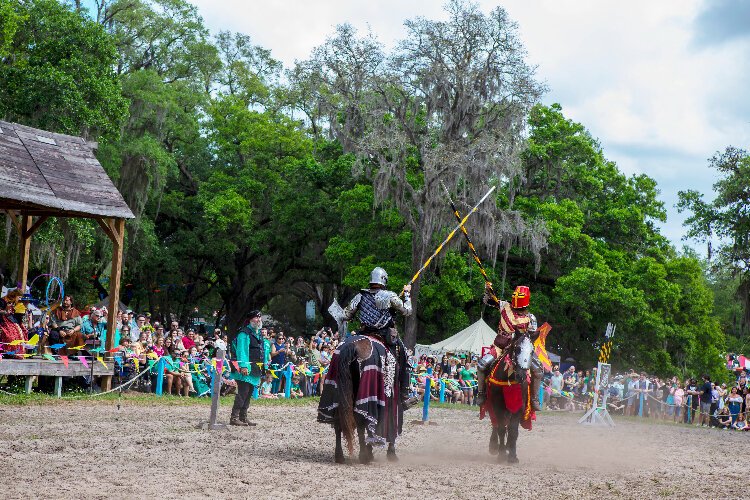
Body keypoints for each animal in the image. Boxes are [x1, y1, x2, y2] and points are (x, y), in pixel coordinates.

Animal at [318, 332, 412, 464]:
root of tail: (351, 346)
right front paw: (390, 453)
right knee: (361, 423)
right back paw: (364, 456)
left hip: (340, 398)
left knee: (339, 423)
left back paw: (340, 456)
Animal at [484, 330, 536, 462]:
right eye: (517, 349)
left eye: (532, 351)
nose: (522, 375)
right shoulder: (498, 406)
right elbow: (501, 428)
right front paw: (502, 454)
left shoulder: (519, 407)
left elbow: (513, 431)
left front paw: (512, 456)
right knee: (496, 423)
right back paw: (494, 446)